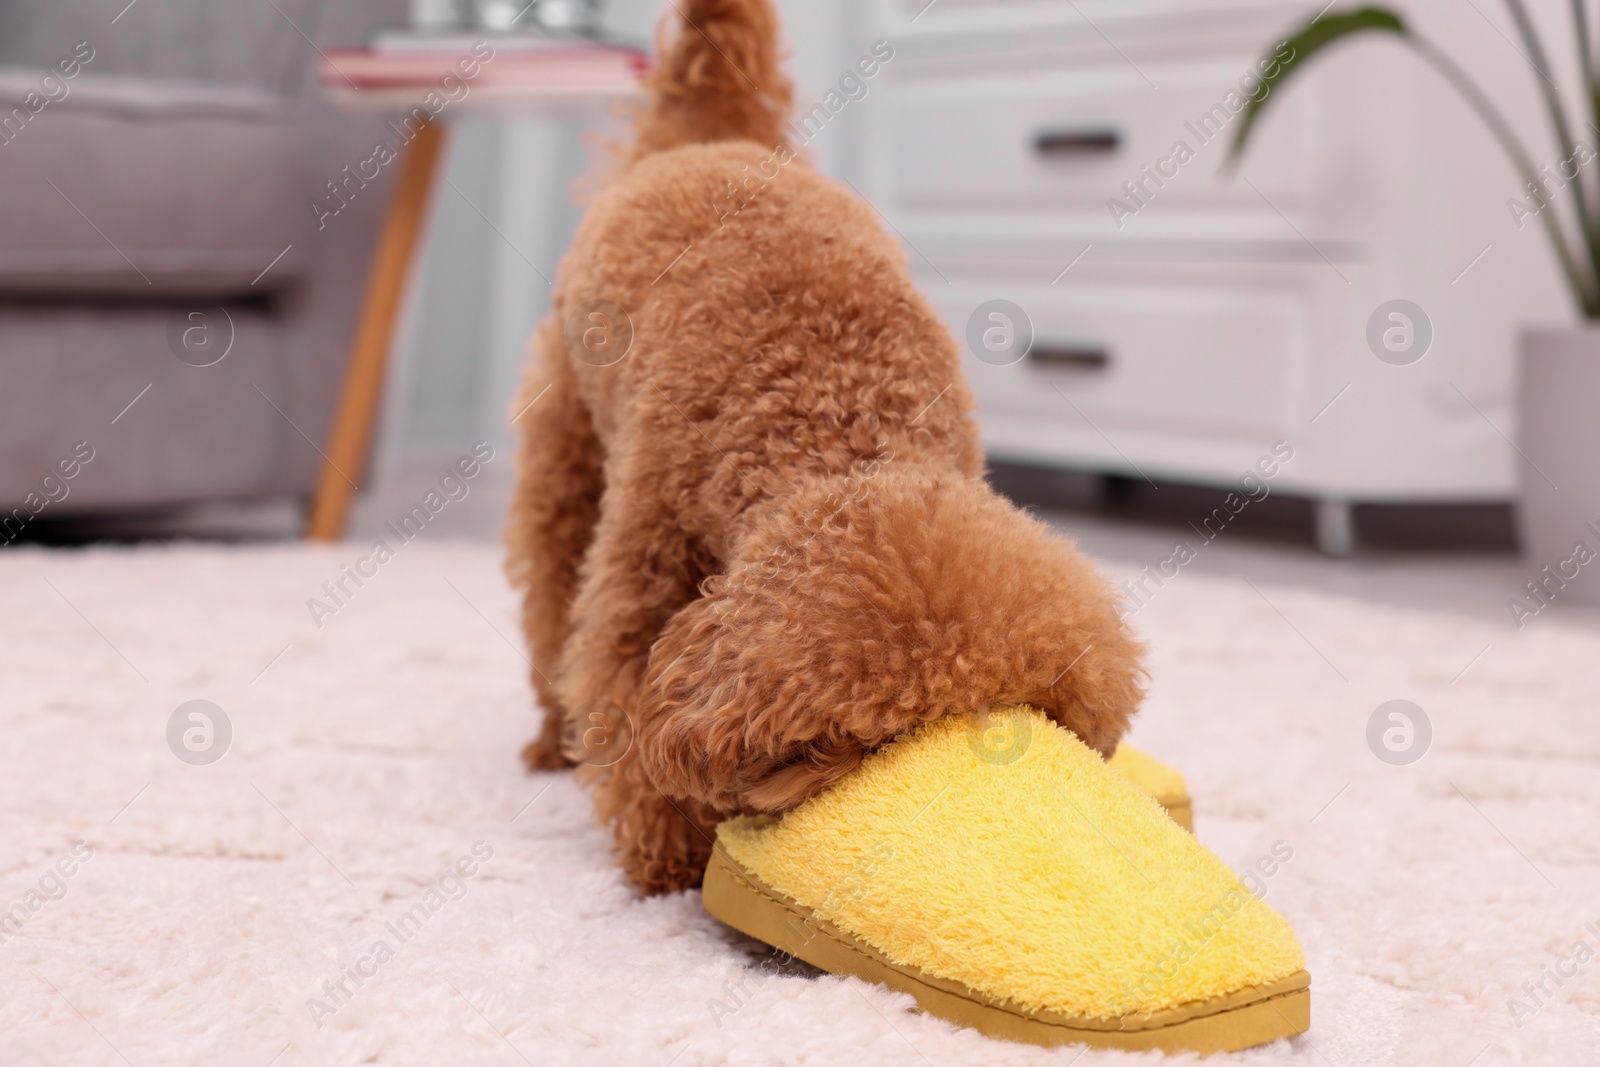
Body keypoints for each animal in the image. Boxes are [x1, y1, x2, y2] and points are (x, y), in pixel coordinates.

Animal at [505, 0, 1145, 895]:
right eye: (861, 738)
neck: (841, 422)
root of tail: (713, 138)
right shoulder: (643, 571)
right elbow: (622, 692)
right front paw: (671, 852)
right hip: (565, 442)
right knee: (550, 596)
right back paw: (547, 741)